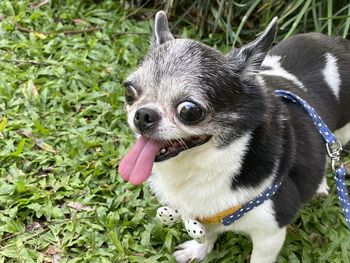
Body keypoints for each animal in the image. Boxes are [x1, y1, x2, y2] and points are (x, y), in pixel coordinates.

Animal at [119, 10, 350, 263]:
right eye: (129, 91)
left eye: (189, 111)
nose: (143, 115)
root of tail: (335, 41)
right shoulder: (203, 213)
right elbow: (206, 233)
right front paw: (198, 250)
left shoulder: (269, 234)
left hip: (343, 131)